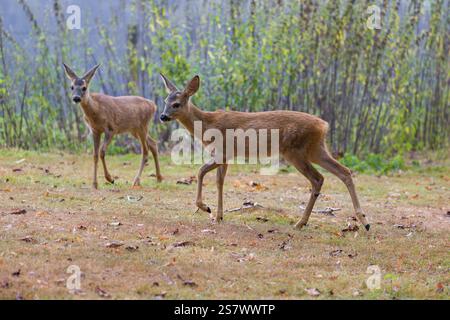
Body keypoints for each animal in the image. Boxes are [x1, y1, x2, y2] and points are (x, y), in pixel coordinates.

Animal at [158, 74, 370, 231]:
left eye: (176, 104)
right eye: (165, 101)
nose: (162, 116)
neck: (207, 125)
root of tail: (323, 125)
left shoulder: (222, 152)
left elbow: (200, 171)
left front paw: (205, 207)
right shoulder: (225, 157)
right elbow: (220, 182)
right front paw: (218, 216)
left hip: (295, 151)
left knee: (318, 178)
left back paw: (301, 223)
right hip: (315, 149)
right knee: (344, 172)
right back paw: (364, 221)